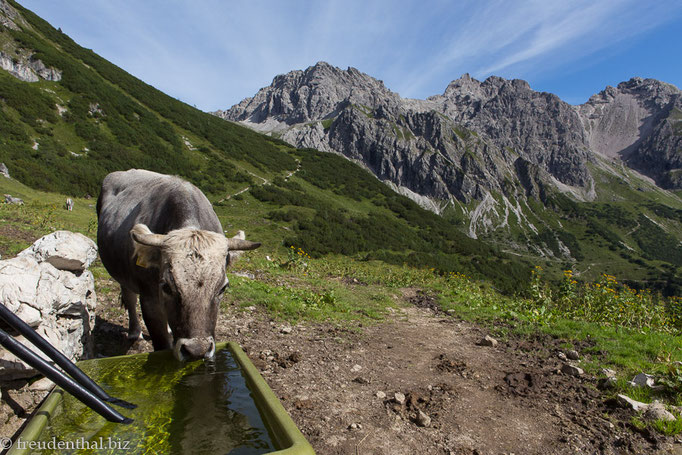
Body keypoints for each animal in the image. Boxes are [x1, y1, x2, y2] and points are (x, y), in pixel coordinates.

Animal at [97, 169, 262, 362]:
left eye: (223, 288)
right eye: (166, 286)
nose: (197, 350)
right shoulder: (149, 300)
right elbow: (160, 342)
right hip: (122, 273)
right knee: (129, 297)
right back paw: (135, 334)